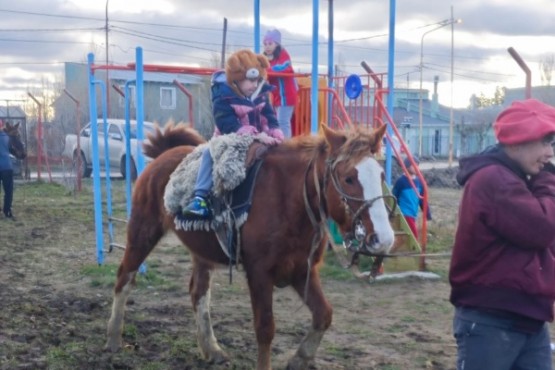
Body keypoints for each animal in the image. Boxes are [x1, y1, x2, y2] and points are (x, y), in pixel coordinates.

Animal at [105, 123, 396, 368]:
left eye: (381, 174)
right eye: (349, 178)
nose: (383, 238)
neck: (287, 198)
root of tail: (164, 156)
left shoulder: (302, 270)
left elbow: (324, 314)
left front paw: (300, 359)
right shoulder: (259, 273)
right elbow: (265, 328)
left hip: (201, 253)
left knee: (198, 292)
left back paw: (211, 349)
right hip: (142, 232)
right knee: (124, 278)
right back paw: (114, 339)